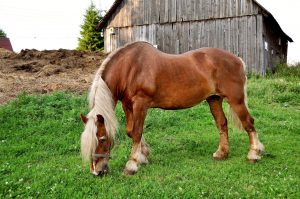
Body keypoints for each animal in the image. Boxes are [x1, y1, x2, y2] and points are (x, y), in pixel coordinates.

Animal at [78, 40, 264, 176]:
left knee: (248, 123)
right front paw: (143, 156)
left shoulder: (140, 104)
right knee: (222, 123)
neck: (129, 68)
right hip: (214, 99)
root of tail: (237, 60)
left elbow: (137, 132)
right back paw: (222, 153)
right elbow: (131, 131)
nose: (96, 171)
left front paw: (132, 164)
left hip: (236, 100)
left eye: (102, 139)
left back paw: (254, 154)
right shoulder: (127, 105)